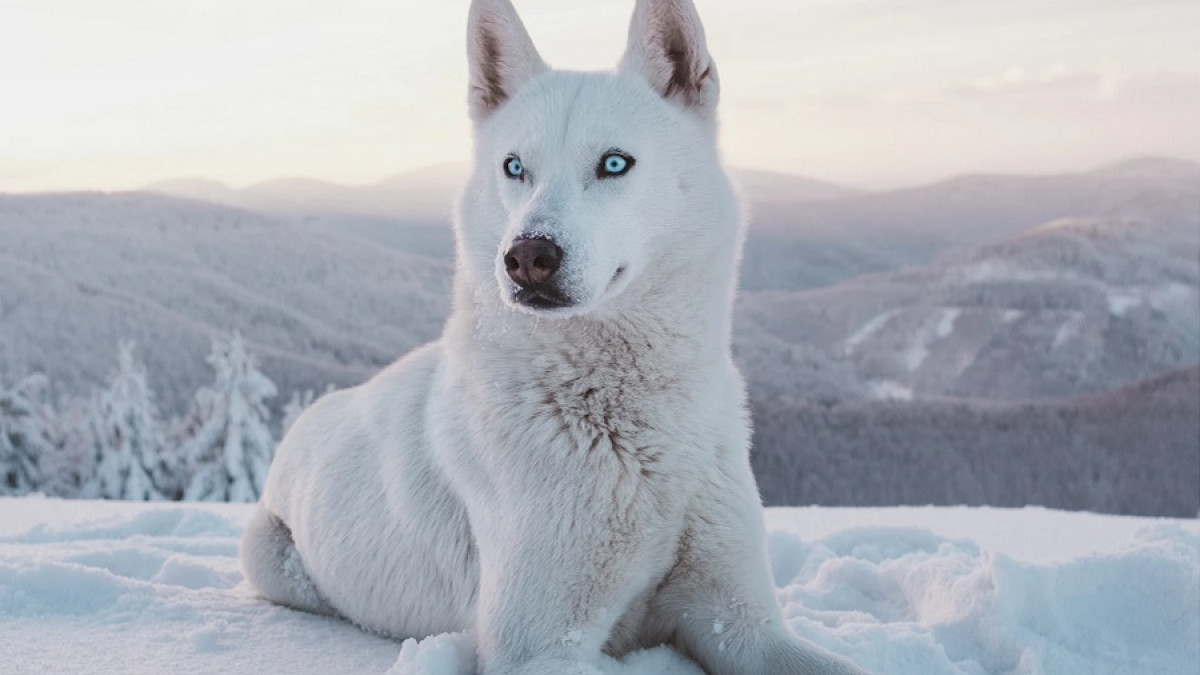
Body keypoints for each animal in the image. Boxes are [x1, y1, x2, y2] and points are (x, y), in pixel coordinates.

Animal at [238, 1, 868, 672]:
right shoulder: (538, 647)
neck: (630, 423)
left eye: (615, 163)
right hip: (271, 557)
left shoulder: (743, 623)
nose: (527, 258)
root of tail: (312, 415)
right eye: (515, 167)